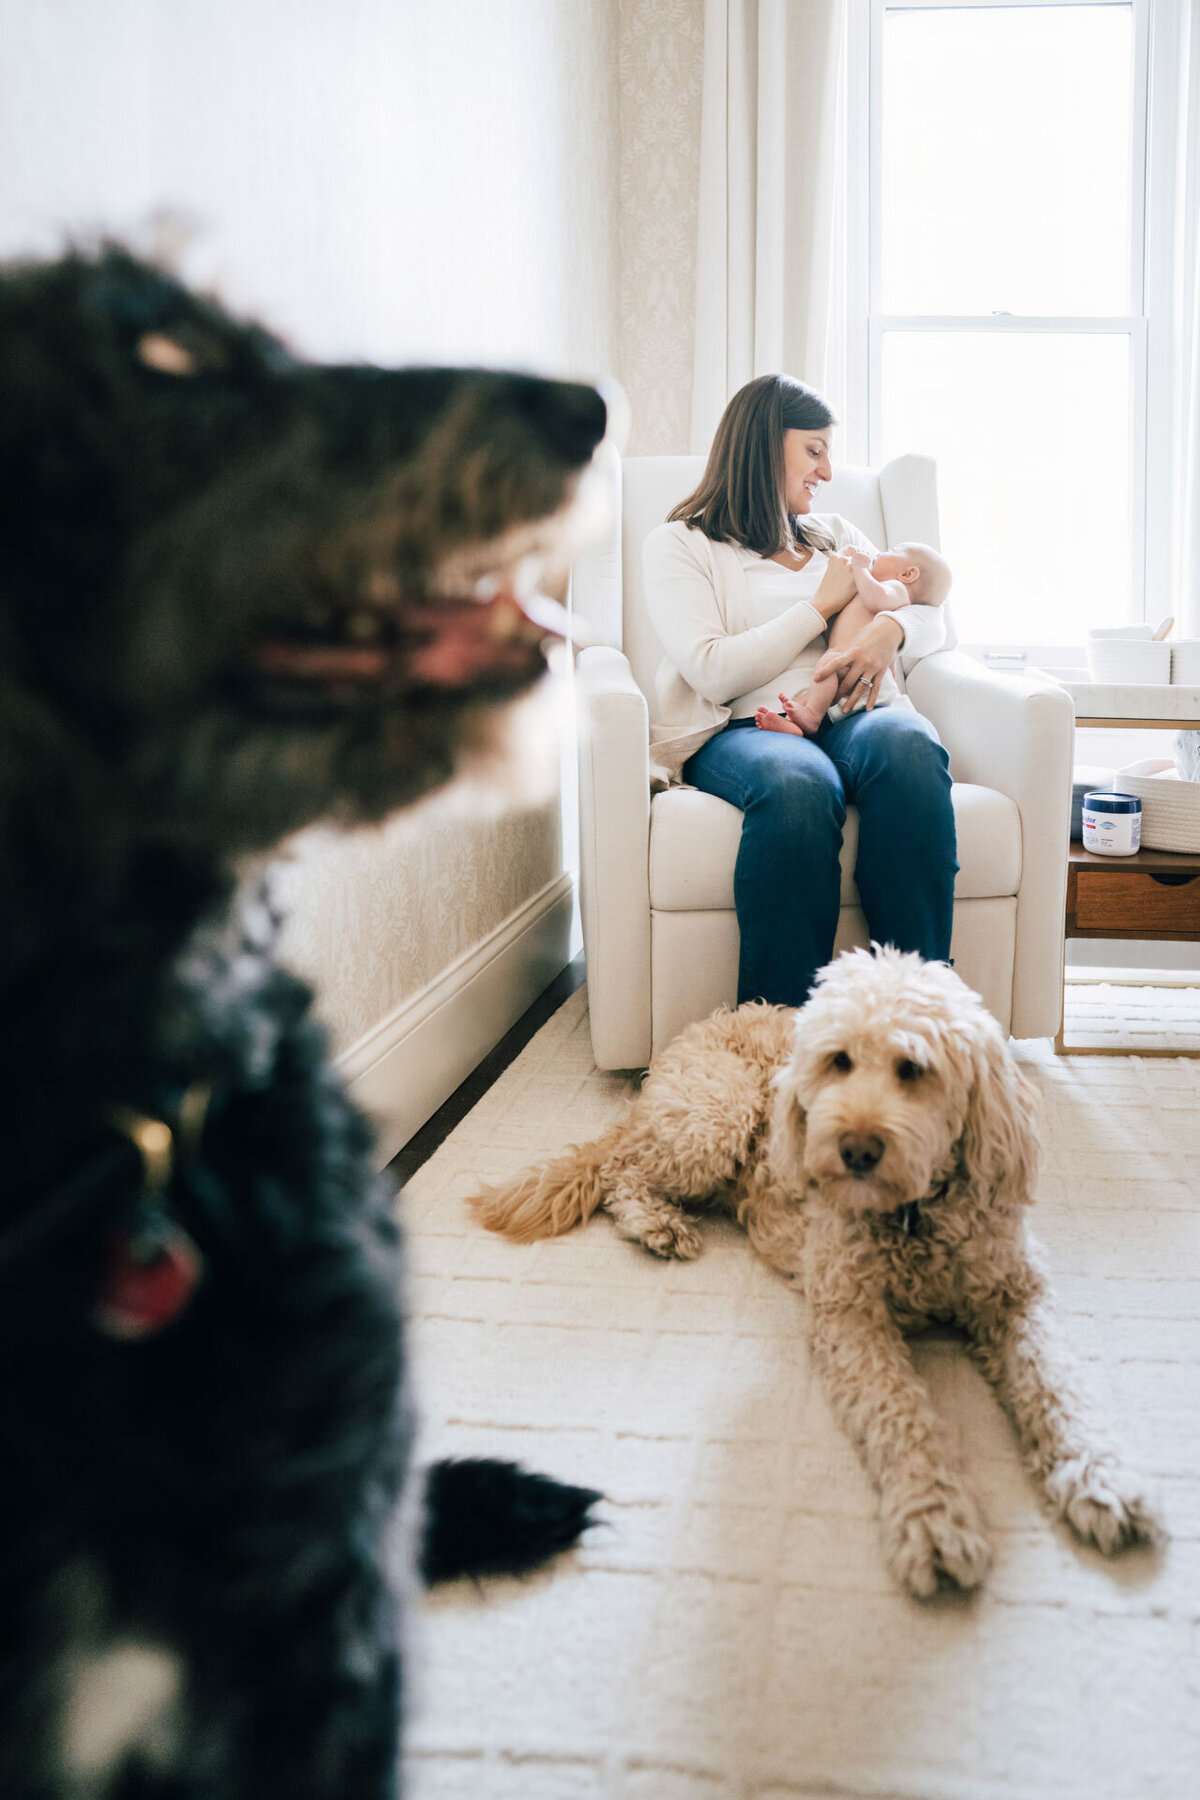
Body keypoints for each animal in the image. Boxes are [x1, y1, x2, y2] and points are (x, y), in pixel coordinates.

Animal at [474, 950, 1165, 1598]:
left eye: (913, 1069)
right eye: (839, 1061)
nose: (854, 1148)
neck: (913, 1216)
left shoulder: (1015, 1293)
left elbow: (1059, 1385)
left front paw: (1101, 1479)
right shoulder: (851, 1317)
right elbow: (902, 1418)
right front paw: (935, 1521)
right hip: (713, 1118)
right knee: (622, 1169)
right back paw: (656, 1225)